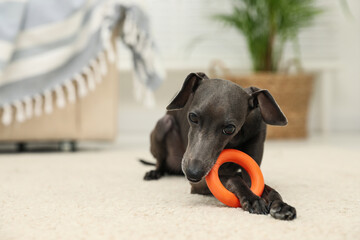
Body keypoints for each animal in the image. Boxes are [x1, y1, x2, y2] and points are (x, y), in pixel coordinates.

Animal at [142, 72, 296, 220]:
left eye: (230, 128)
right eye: (192, 117)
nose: (192, 173)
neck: (235, 140)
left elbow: (268, 188)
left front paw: (281, 206)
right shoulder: (199, 184)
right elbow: (234, 179)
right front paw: (252, 199)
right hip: (164, 124)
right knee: (160, 161)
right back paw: (154, 172)